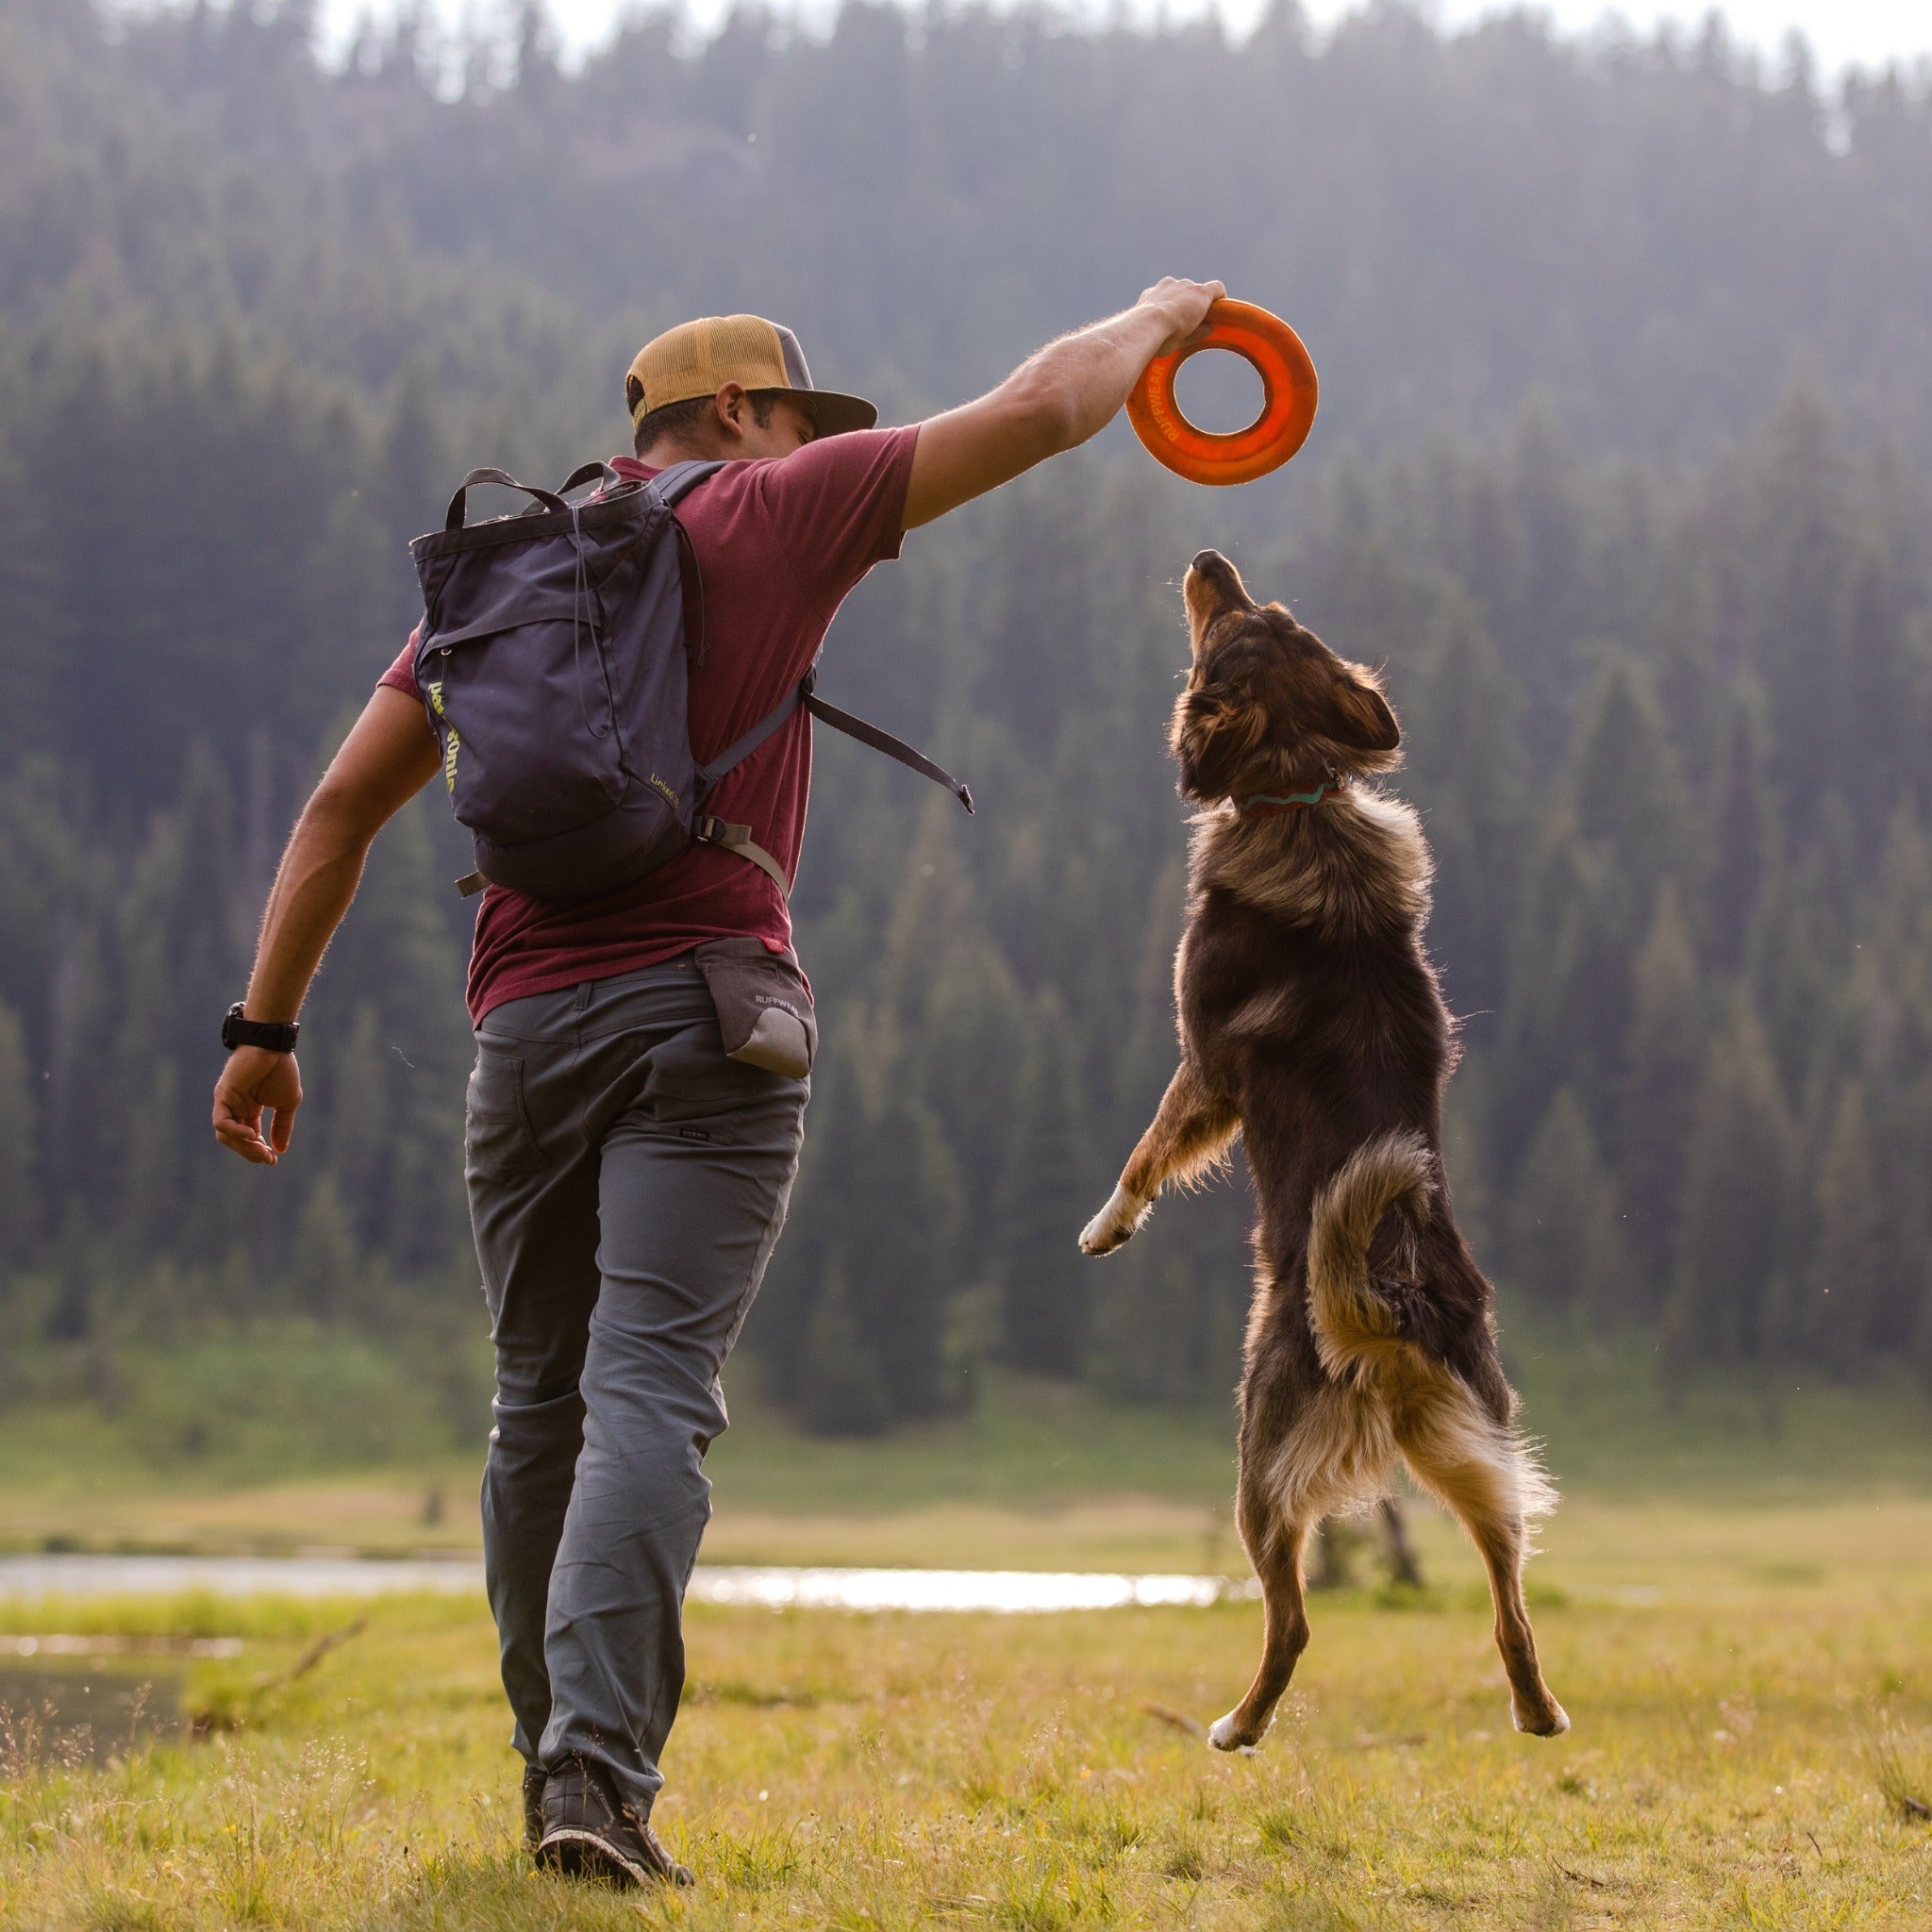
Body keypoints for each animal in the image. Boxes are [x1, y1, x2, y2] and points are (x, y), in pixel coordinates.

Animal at [1081, 548, 1560, 1754]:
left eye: (1231, 632)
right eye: (1280, 615)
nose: (1208, 558)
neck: (1298, 789)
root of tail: (1384, 1305)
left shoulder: (1202, 1063)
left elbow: (1147, 1149)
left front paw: (1105, 1226)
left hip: (1257, 1460)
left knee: (1292, 1620)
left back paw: (1234, 1726)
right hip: (1478, 1449)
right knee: (1511, 1603)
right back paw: (1536, 1711)